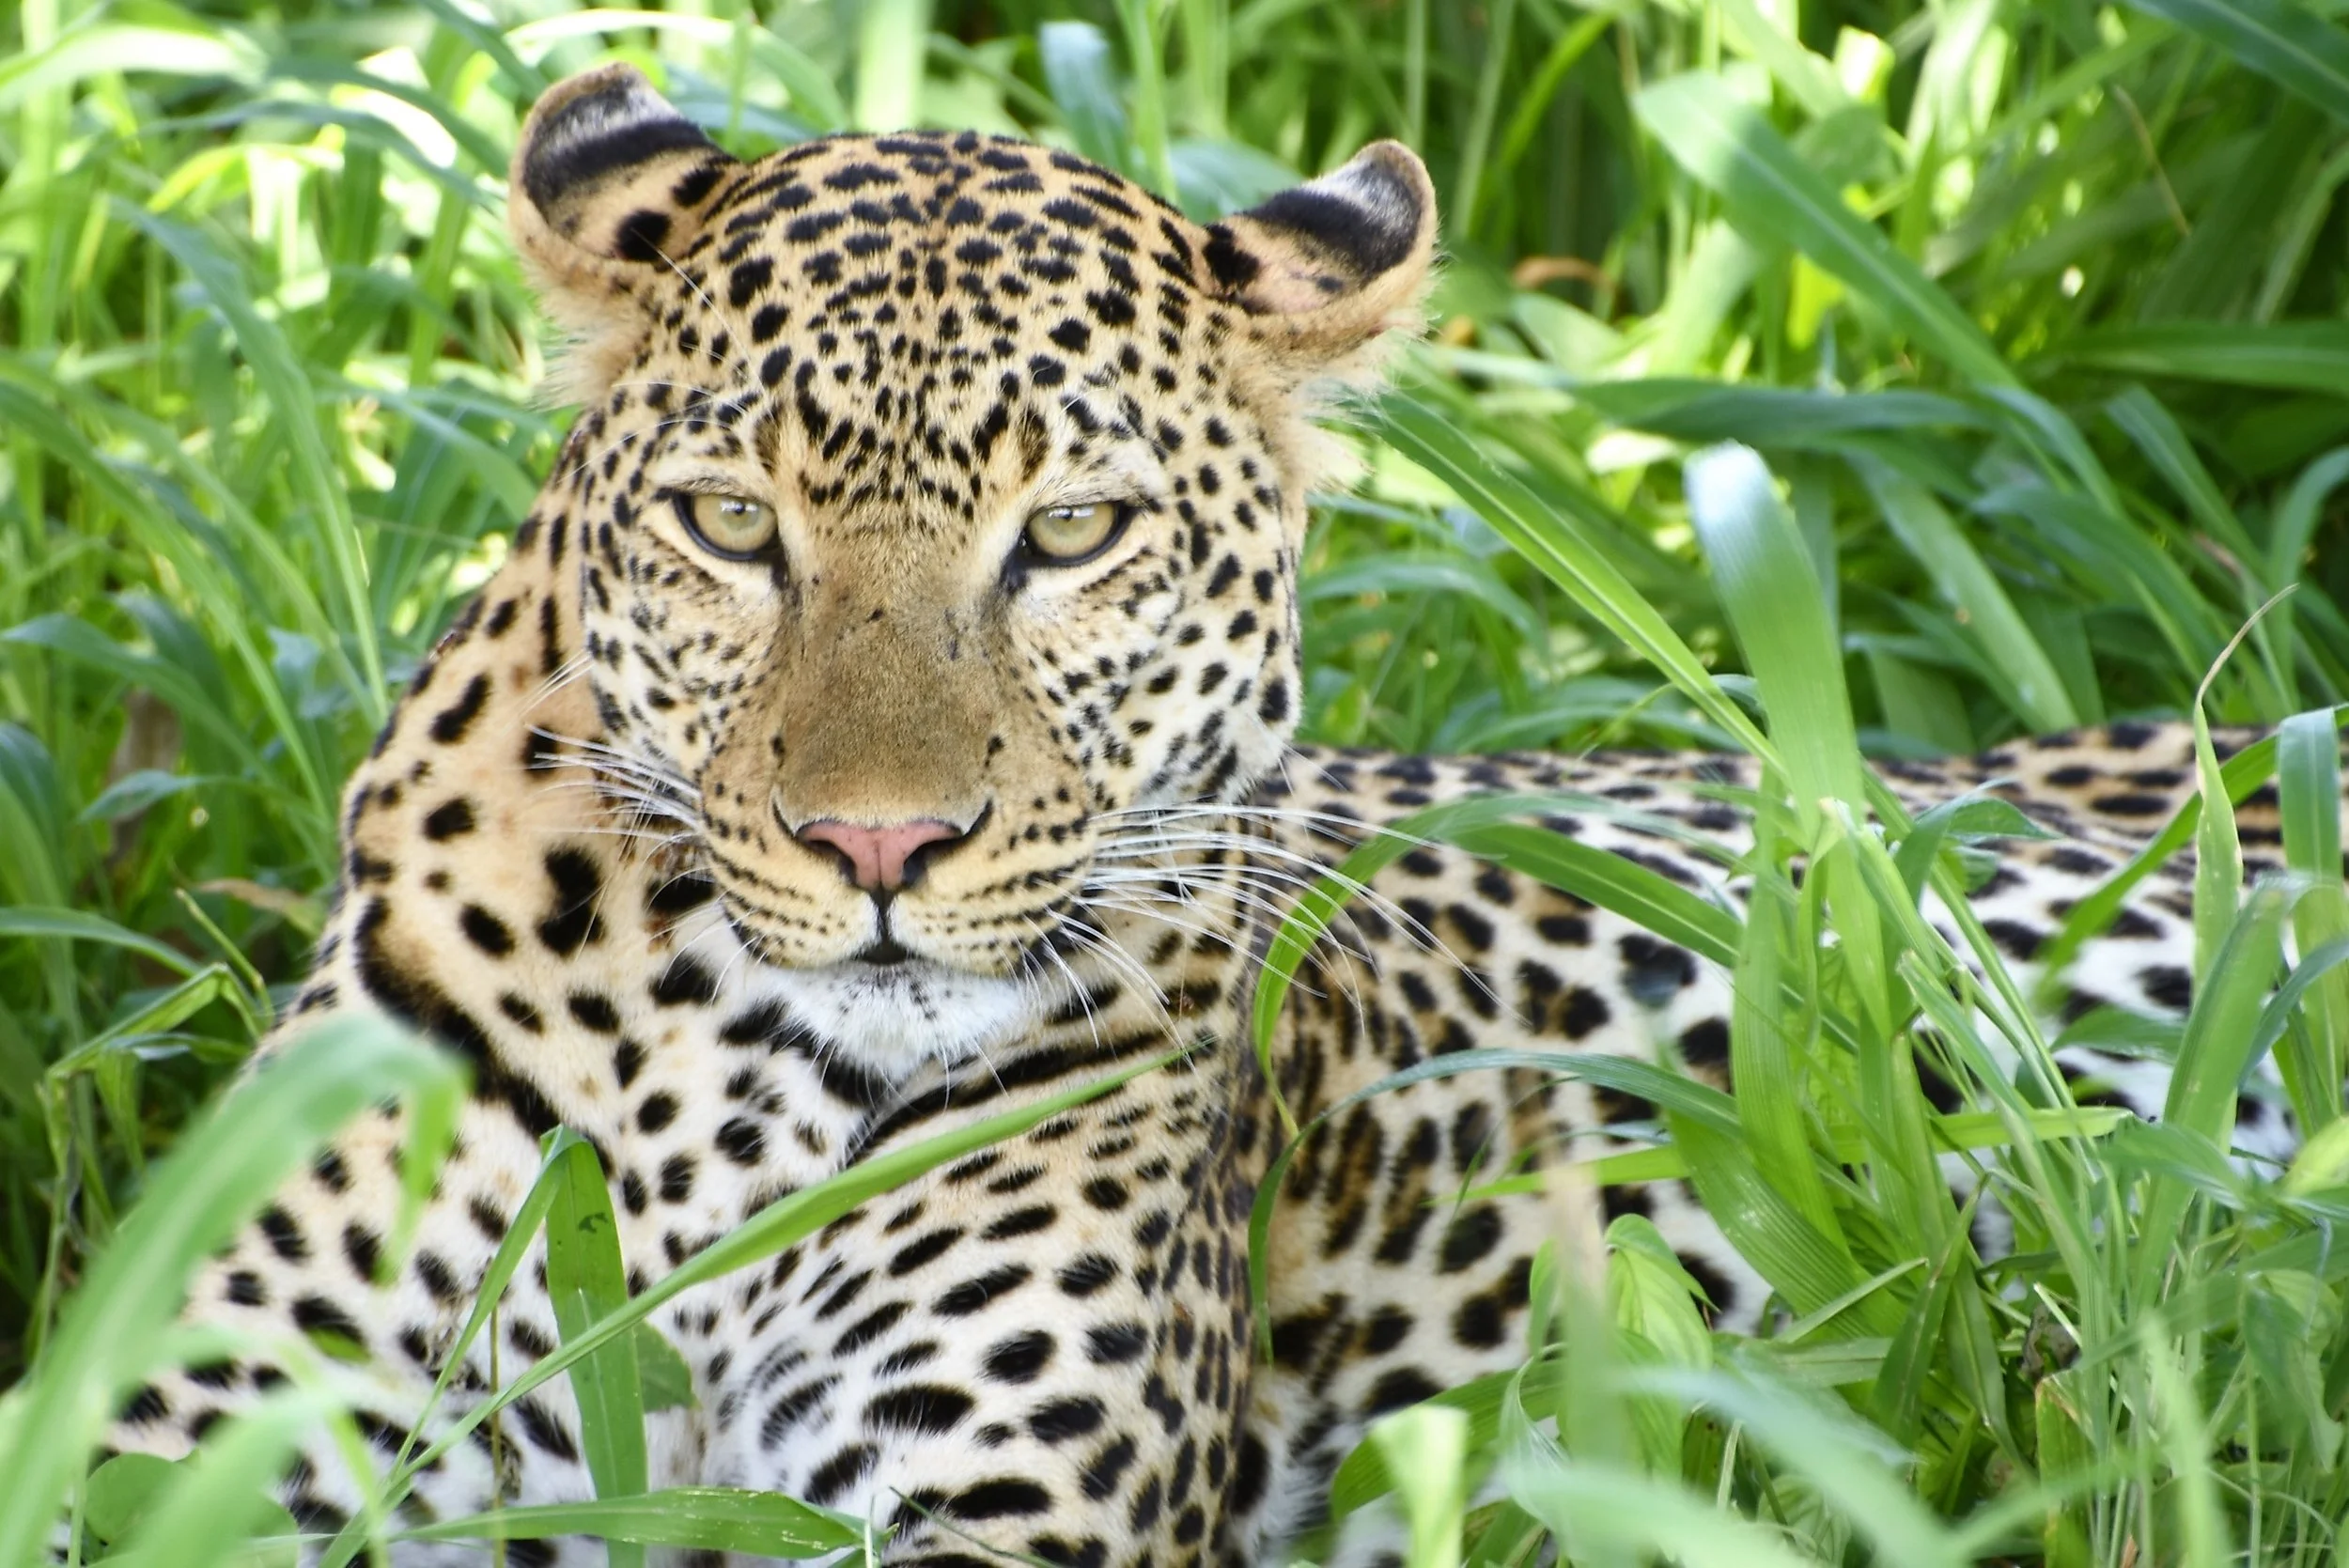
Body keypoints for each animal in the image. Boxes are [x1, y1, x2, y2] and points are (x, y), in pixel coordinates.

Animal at [101, 61, 2337, 1568]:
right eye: (734, 525)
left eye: (1073, 534)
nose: (879, 851)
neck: (710, 1098)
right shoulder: (200, 1436)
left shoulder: (1001, 1504)